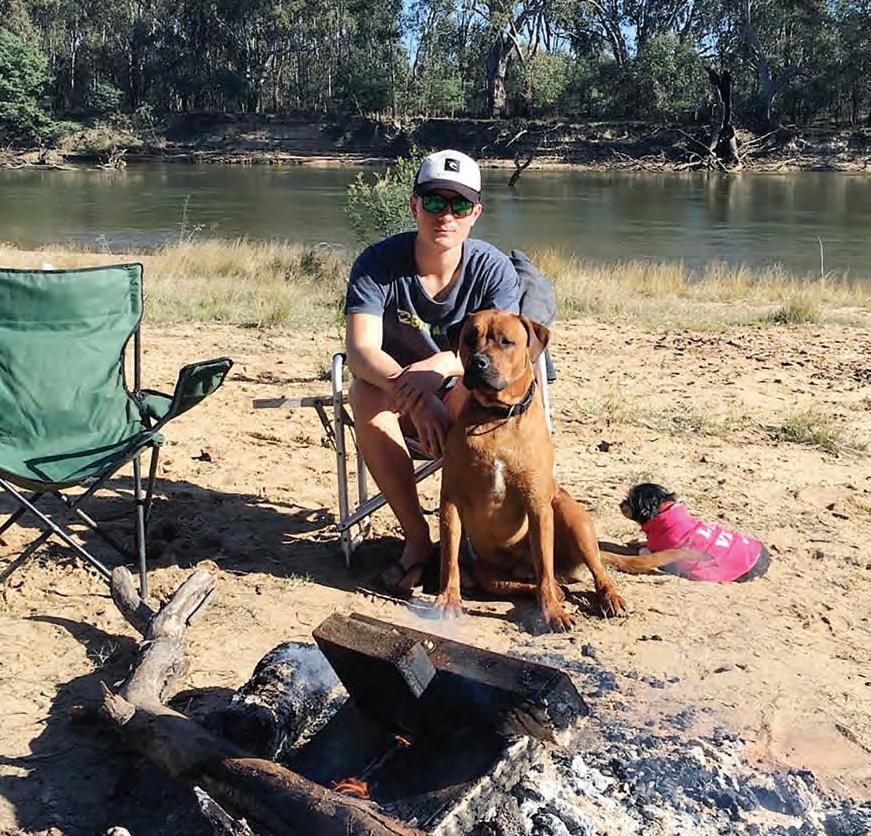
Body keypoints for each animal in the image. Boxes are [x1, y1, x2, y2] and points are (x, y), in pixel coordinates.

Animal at [435, 309, 626, 632]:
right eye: (469, 338)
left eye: (505, 341)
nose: (477, 363)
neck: (497, 418)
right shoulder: (451, 501)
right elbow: (449, 558)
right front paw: (447, 600)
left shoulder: (538, 505)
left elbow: (544, 568)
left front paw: (552, 613)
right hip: (487, 571)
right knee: (533, 582)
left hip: (575, 520)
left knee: (587, 570)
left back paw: (609, 596)